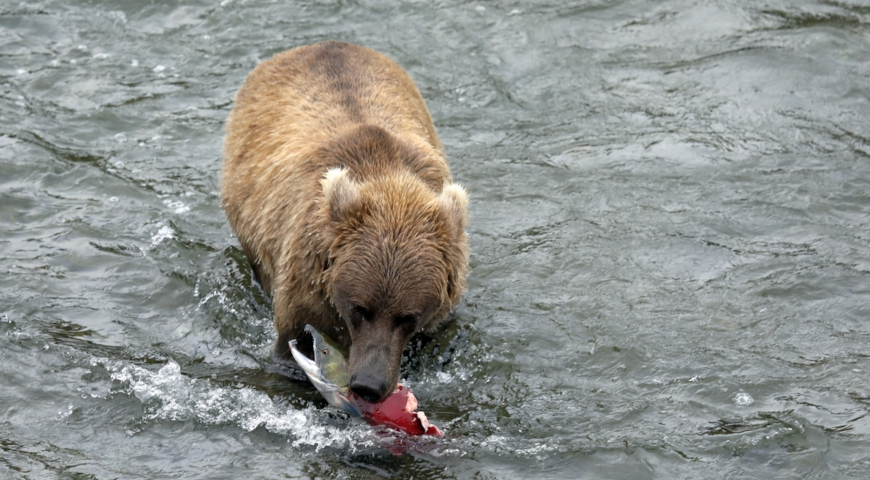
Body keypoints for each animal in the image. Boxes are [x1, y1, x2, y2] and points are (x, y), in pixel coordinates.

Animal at [221, 41, 469, 403]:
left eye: (407, 316)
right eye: (359, 308)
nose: (369, 385)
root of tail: (316, 45)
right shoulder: (305, 286)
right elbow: (288, 350)